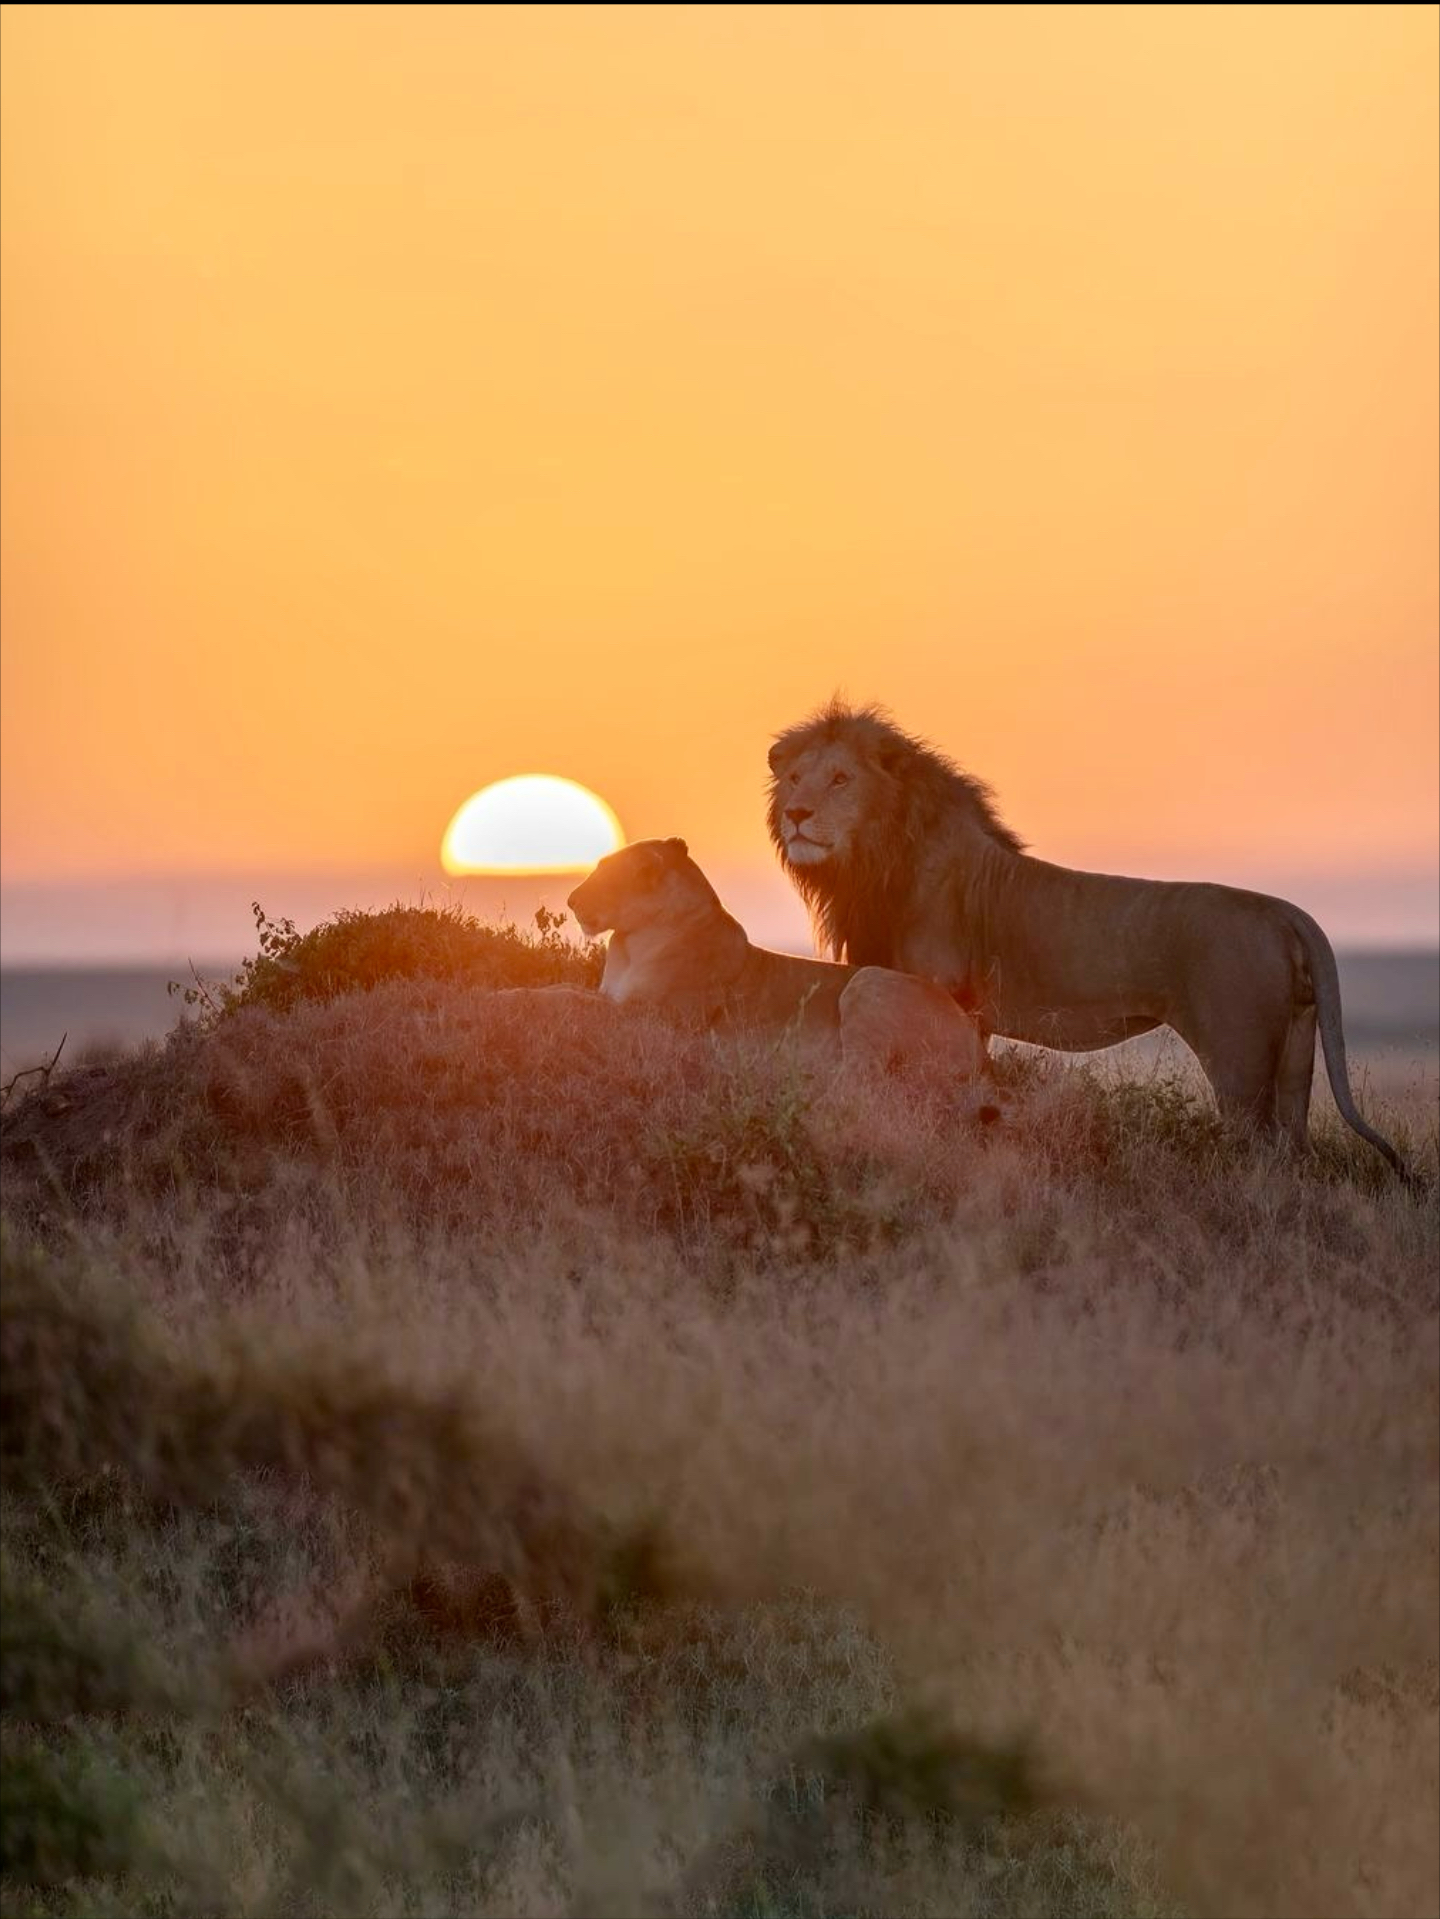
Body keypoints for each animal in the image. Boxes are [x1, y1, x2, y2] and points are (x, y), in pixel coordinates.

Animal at [568, 844, 990, 1097]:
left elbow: (571, 998)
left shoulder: (655, 1017)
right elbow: (580, 993)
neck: (628, 942)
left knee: (861, 1082)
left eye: (608, 872)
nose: (571, 900)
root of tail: (978, 1045)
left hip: (868, 982)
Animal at [771, 698, 1413, 1174]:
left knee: (1258, 1148)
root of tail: (1285, 911)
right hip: (1295, 1049)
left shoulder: (945, 997)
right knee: (1295, 1154)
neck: (873, 862)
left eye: (840, 779)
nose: (796, 815)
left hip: (1239, 1057)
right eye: (795, 778)